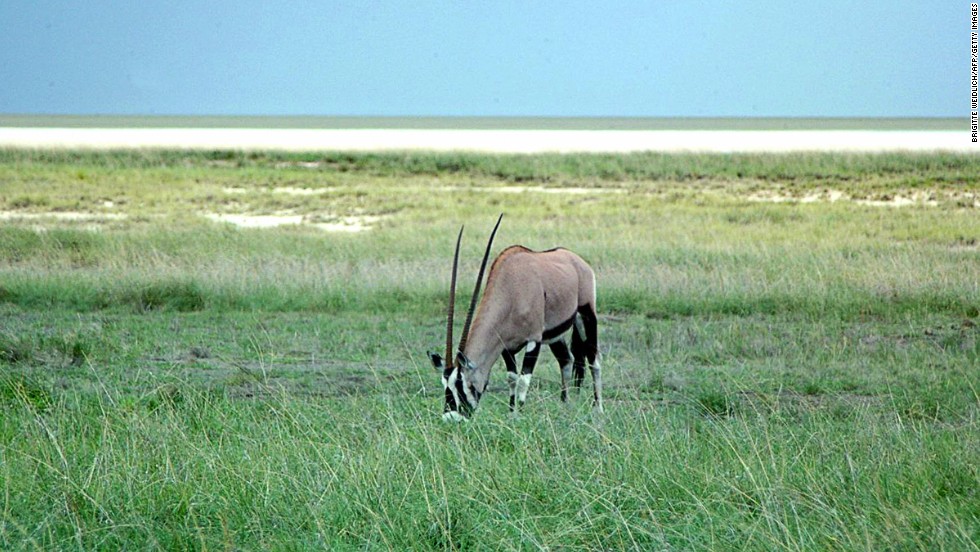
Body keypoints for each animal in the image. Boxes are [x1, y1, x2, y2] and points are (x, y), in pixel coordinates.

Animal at [426, 213, 596, 420]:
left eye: (463, 384)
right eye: (445, 385)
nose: (451, 417)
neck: (511, 289)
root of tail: (577, 260)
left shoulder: (533, 341)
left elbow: (523, 379)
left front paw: (519, 414)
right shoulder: (506, 347)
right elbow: (512, 379)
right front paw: (512, 412)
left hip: (586, 315)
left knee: (594, 361)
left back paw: (598, 407)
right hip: (555, 334)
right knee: (567, 360)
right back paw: (565, 405)